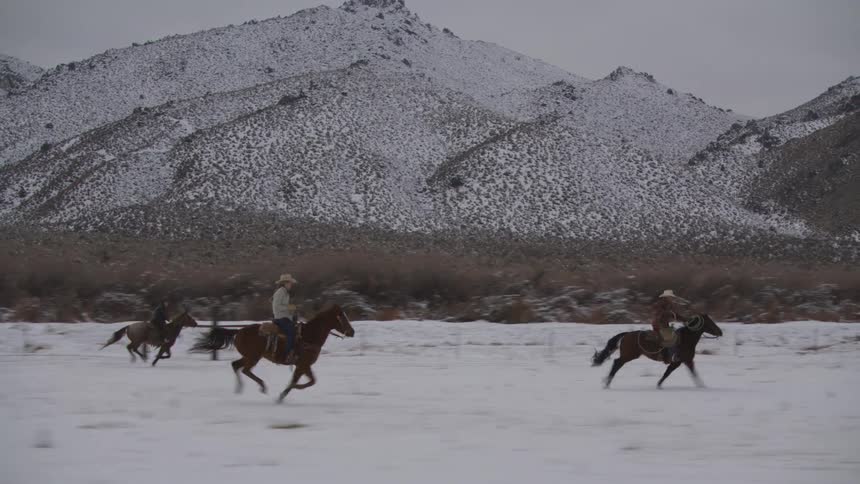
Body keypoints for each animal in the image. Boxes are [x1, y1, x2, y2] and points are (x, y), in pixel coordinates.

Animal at [190, 304, 355, 403]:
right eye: (342, 317)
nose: (352, 332)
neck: (309, 336)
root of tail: (238, 331)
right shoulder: (302, 364)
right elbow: (302, 381)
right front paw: (285, 393)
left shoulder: (304, 365)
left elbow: (310, 381)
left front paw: (284, 393)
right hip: (253, 357)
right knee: (245, 370)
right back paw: (262, 386)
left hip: (248, 356)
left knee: (235, 365)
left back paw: (239, 389)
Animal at [591, 314, 723, 389]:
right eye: (710, 322)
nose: (720, 332)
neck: (686, 339)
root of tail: (627, 334)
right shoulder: (681, 361)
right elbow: (672, 373)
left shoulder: (683, 361)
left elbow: (676, 373)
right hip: (629, 355)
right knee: (617, 363)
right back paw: (607, 382)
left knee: (617, 363)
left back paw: (607, 382)